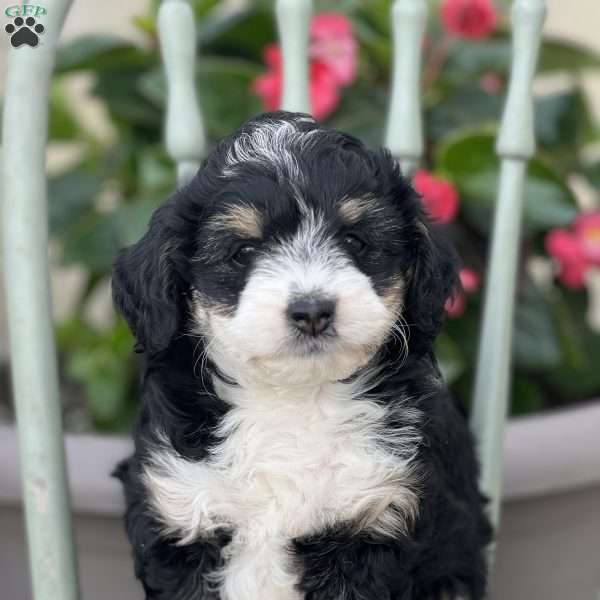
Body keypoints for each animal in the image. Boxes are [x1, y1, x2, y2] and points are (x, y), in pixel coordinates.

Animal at [112, 112, 492, 600]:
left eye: (355, 241)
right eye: (244, 251)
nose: (312, 311)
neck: (291, 398)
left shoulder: (375, 515)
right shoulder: (178, 508)